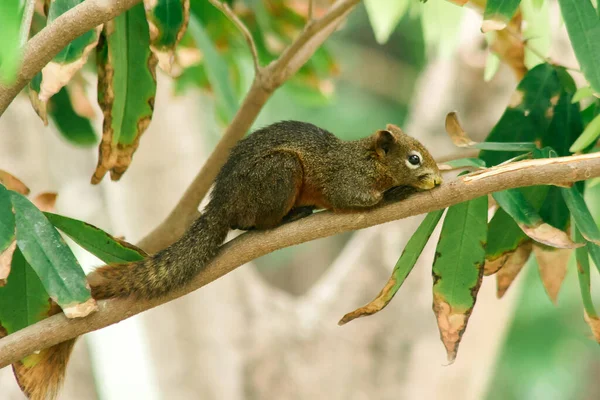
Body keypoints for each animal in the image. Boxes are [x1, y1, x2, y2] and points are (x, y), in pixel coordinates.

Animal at [23, 121, 440, 400]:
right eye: (414, 158)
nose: (436, 178)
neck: (367, 159)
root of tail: (220, 205)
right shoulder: (346, 181)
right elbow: (355, 199)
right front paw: (400, 192)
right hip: (280, 173)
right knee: (252, 222)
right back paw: (289, 217)